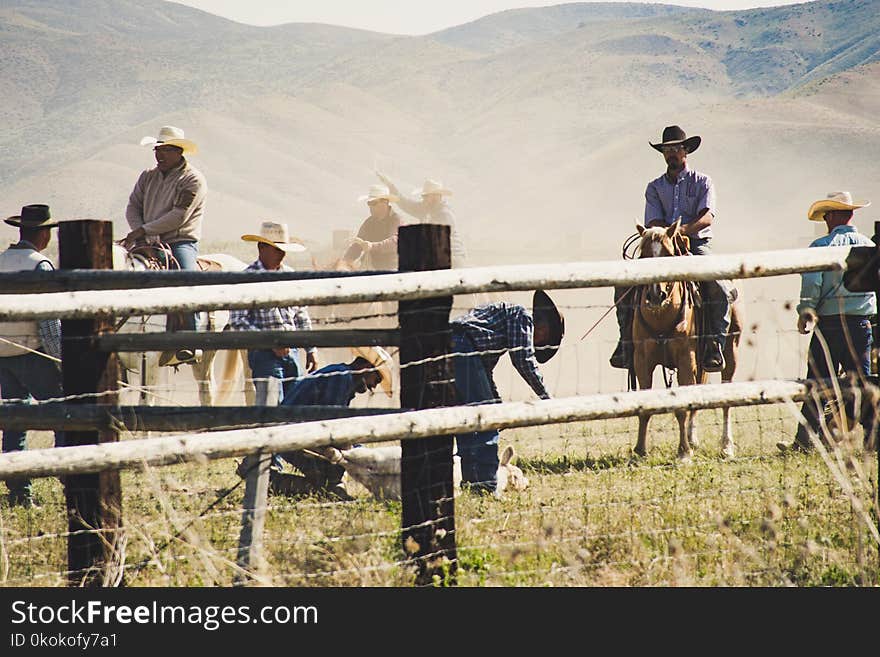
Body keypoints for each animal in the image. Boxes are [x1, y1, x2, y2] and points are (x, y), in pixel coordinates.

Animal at [632, 218, 744, 458]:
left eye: (668, 253)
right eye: (644, 254)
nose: (655, 295)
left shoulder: (685, 359)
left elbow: (682, 408)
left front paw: (683, 452)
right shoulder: (642, 361)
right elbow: (645, 406)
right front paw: (639, 451)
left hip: (731, 352)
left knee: (726, 399)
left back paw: (726, 446)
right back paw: (693, 440)